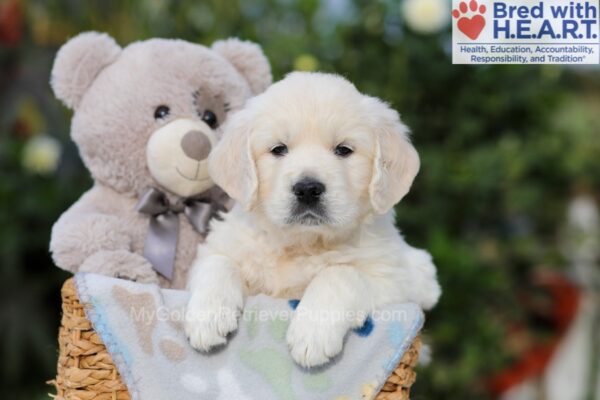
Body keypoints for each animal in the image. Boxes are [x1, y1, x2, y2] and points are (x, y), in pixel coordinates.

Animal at [185, 72, 442, 368]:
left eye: (343, 150)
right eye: (278, 149)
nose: (308, 189)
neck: (303, 244)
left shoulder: (396, 280)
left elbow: (339, 273)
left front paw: (312, 333)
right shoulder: (222, 248)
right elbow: (217, 263)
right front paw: (206, 318)